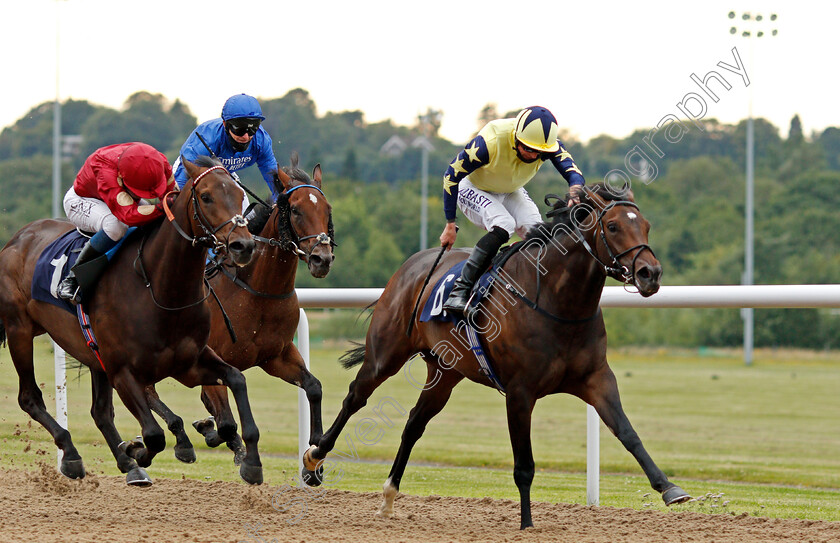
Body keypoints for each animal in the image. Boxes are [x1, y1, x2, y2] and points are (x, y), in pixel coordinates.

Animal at [0, 157, 264, 488]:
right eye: (206, 196)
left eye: (240, 196)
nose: (243, 246)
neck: (161, 290)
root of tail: (17, 238)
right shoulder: (124, 371)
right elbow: (153, 435)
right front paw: (137, 450)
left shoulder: (189, 363)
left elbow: (236, 382)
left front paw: (251, 461)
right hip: (20, 330)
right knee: (29, 398)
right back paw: (72, 455)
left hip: (91, 353)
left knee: (100, 412)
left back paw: (123, 462)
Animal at [302, 184, 688, 532]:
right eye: (613, 226)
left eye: (646, 225)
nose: (650, 273)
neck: (556, 301)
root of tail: (414, 263)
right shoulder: (520, 392)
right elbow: (524, 464)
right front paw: (527, 523)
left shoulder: (596, 379)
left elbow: (627, 432)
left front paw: (669, 488)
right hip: (386, 353)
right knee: (355, 397)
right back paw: (314, 459)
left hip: (445, 373)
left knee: (414, 423)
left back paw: (388, 496)